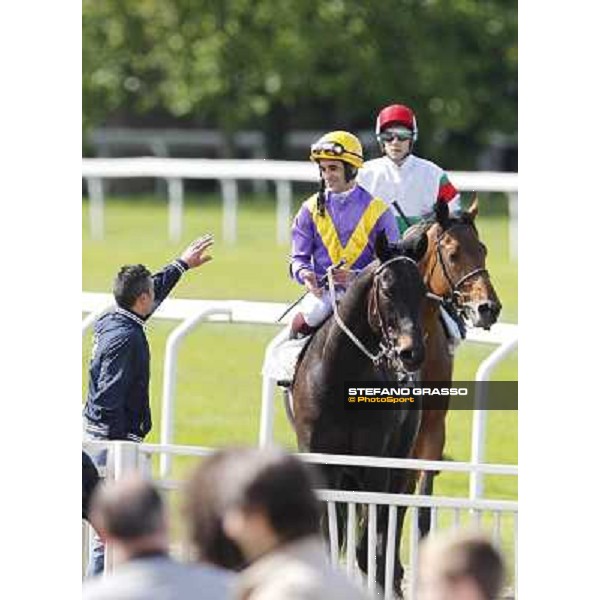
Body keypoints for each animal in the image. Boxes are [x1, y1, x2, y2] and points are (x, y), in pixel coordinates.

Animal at [292, 232, 428, 592]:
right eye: (387, 289)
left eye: (422, 290)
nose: (411, 353)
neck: (341, 375)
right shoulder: (322, 462)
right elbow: (329, 538)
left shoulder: (375, 464)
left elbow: (371, 547)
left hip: (399, 462)